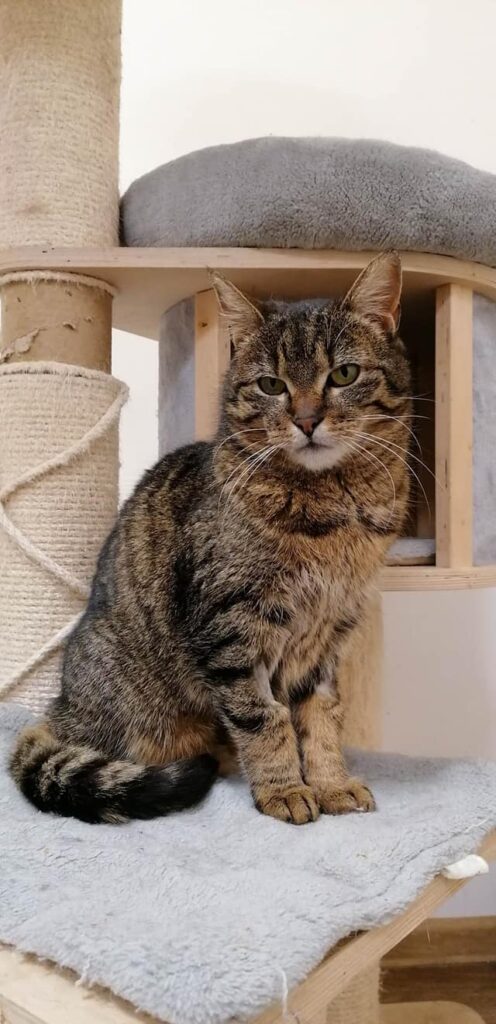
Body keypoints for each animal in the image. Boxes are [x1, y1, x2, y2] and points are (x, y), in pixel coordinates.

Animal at [10, 252, 412, 826]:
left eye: (344, 374)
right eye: (271, 385)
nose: (307, 420)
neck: (333, 511)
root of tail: (57, 710)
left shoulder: (327, 636)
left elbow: (321, 719)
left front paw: (331, 784)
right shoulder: (230, 627)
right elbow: (264, 718)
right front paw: (285, 791)